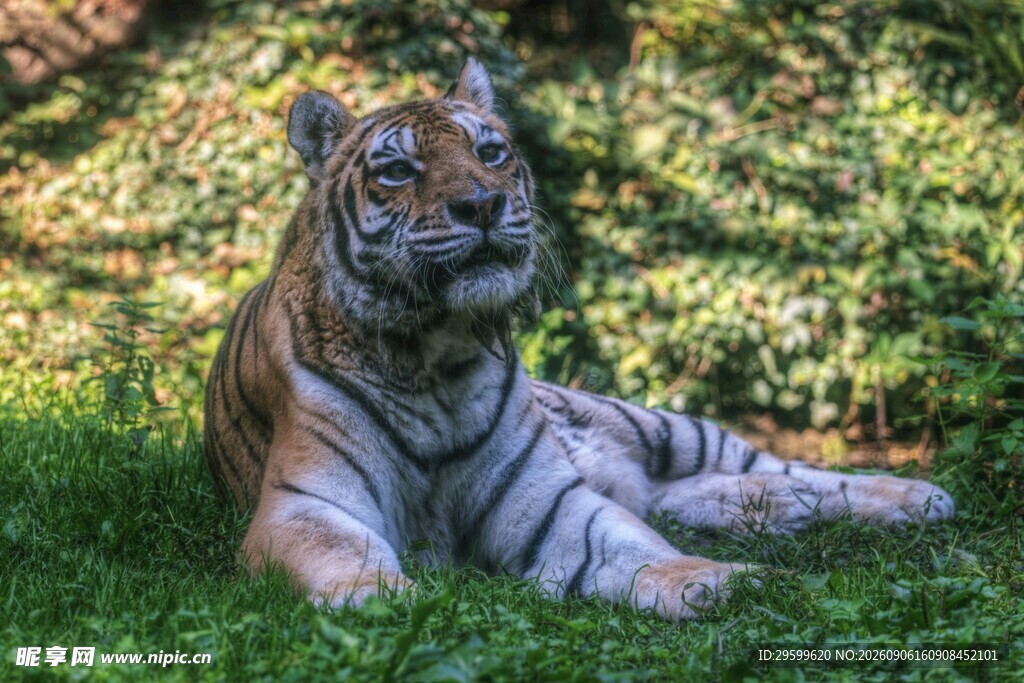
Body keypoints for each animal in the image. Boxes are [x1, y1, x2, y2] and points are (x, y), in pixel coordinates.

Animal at [204, 58, 955, 620]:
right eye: (398, 172)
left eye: (490, 153)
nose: (482, 203)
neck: (439, 356)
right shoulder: (303, 504)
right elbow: (344, 558)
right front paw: (387, 600)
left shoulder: (549, 501)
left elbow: (631, 546)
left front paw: (722, 581)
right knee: (684, 494)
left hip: (665, 426)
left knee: (788, 467)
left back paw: (914, 498)